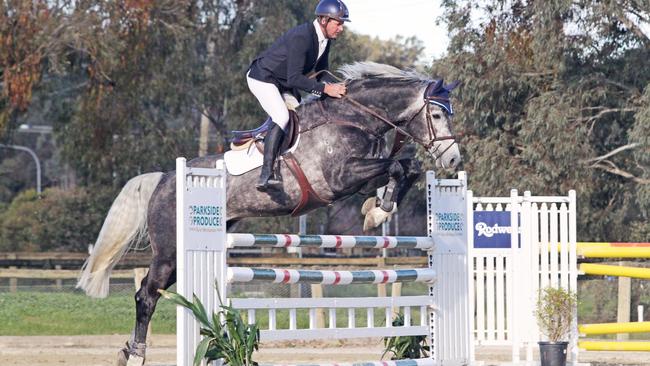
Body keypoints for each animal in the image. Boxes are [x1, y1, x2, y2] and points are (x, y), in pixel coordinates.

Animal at [77, 61, 460, 364]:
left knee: (150, 291)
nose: (454, 160)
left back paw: (127, 350)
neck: (353, 119)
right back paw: (136, 355)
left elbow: (406, 168)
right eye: (436, 114)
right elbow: (395, 165)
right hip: (170, 251)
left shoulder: (360, 175)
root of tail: (164, 179)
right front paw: (379, 210)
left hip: (184, 253)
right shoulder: (341, 178)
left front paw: (378, 208)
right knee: (146, 295)